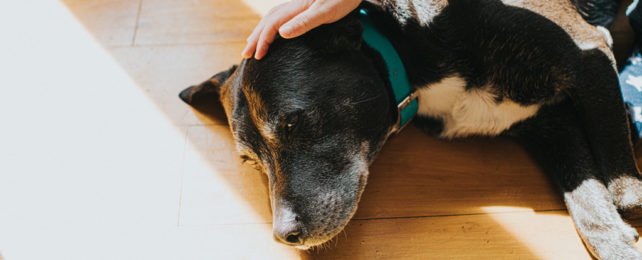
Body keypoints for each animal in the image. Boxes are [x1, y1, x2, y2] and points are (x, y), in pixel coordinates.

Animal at [178, 0, 640, 258]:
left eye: (291, 121)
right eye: (249, 161)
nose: (284, 236)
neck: (405, 49)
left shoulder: (588, 52)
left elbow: (624, 191)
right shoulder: (549, 123)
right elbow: (587, 200)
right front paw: (617, 243)